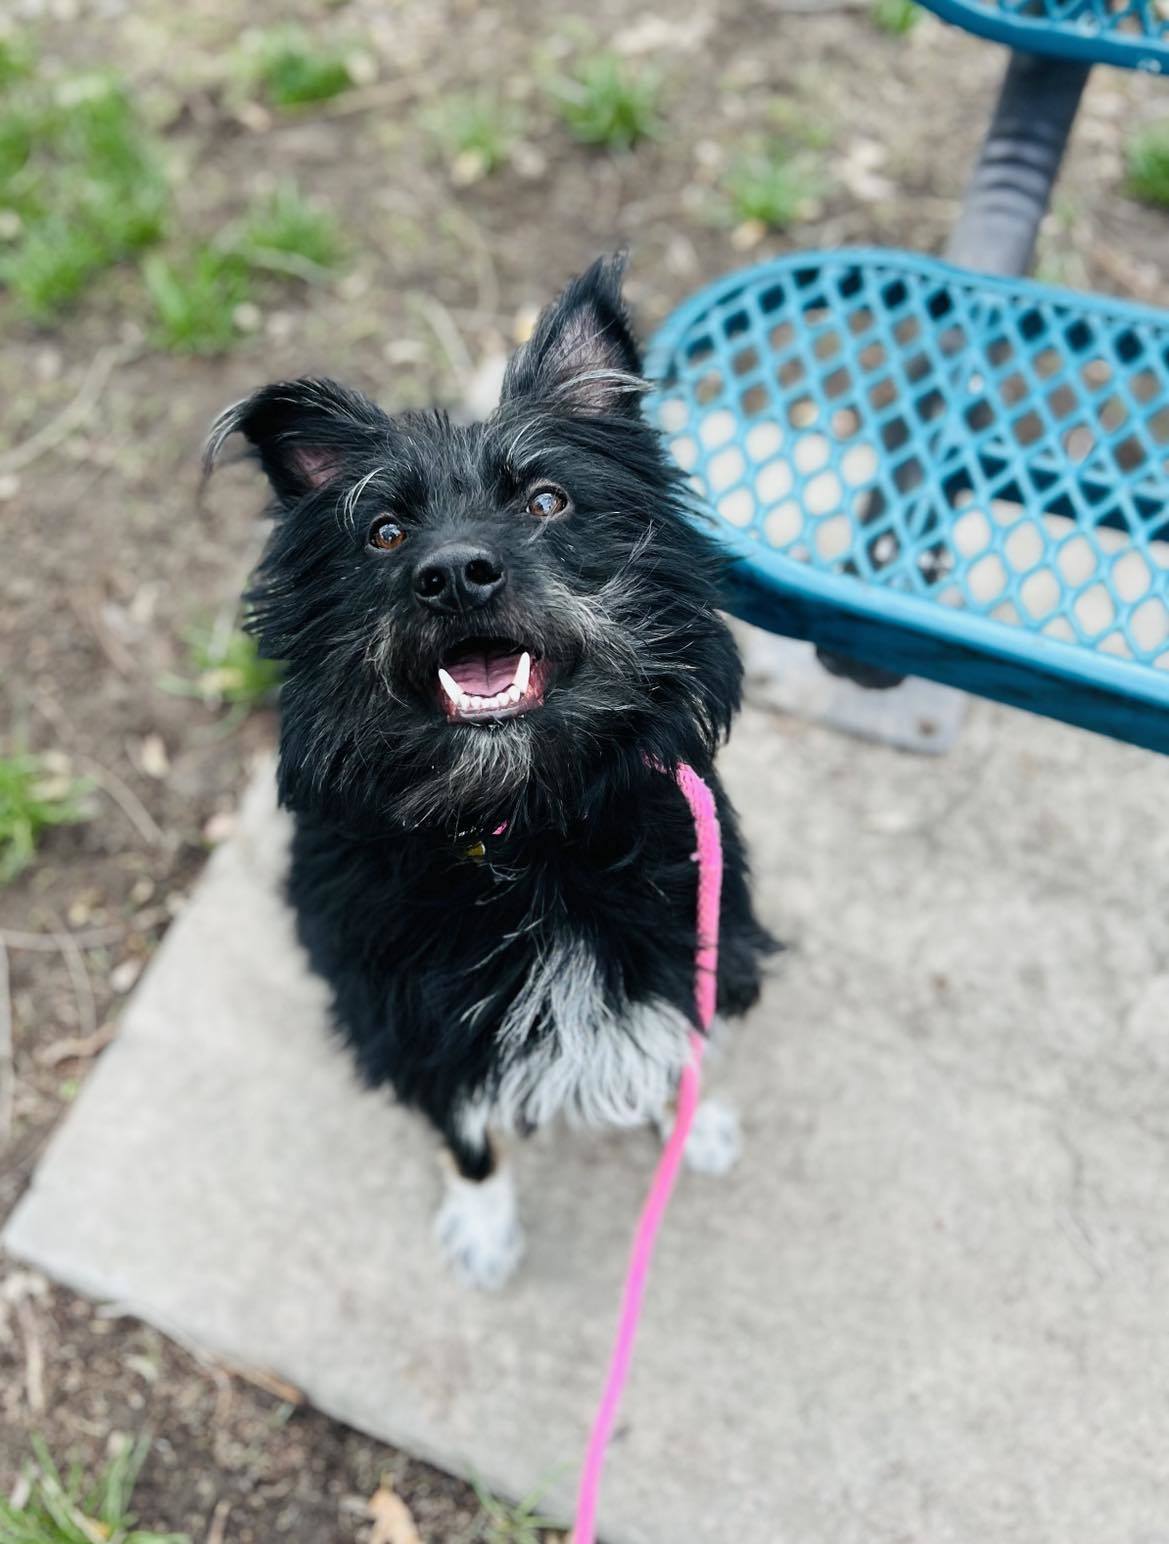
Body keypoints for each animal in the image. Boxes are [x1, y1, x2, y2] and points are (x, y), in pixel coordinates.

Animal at [210, 256, 775, 1290]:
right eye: (385, 534)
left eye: (546, 501)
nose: (453, 574)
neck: (528, 829)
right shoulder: (422, 1025)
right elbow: (470, 1134)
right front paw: (482, 1224)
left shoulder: (691, 935)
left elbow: (678, 1039)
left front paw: (691, 1119)